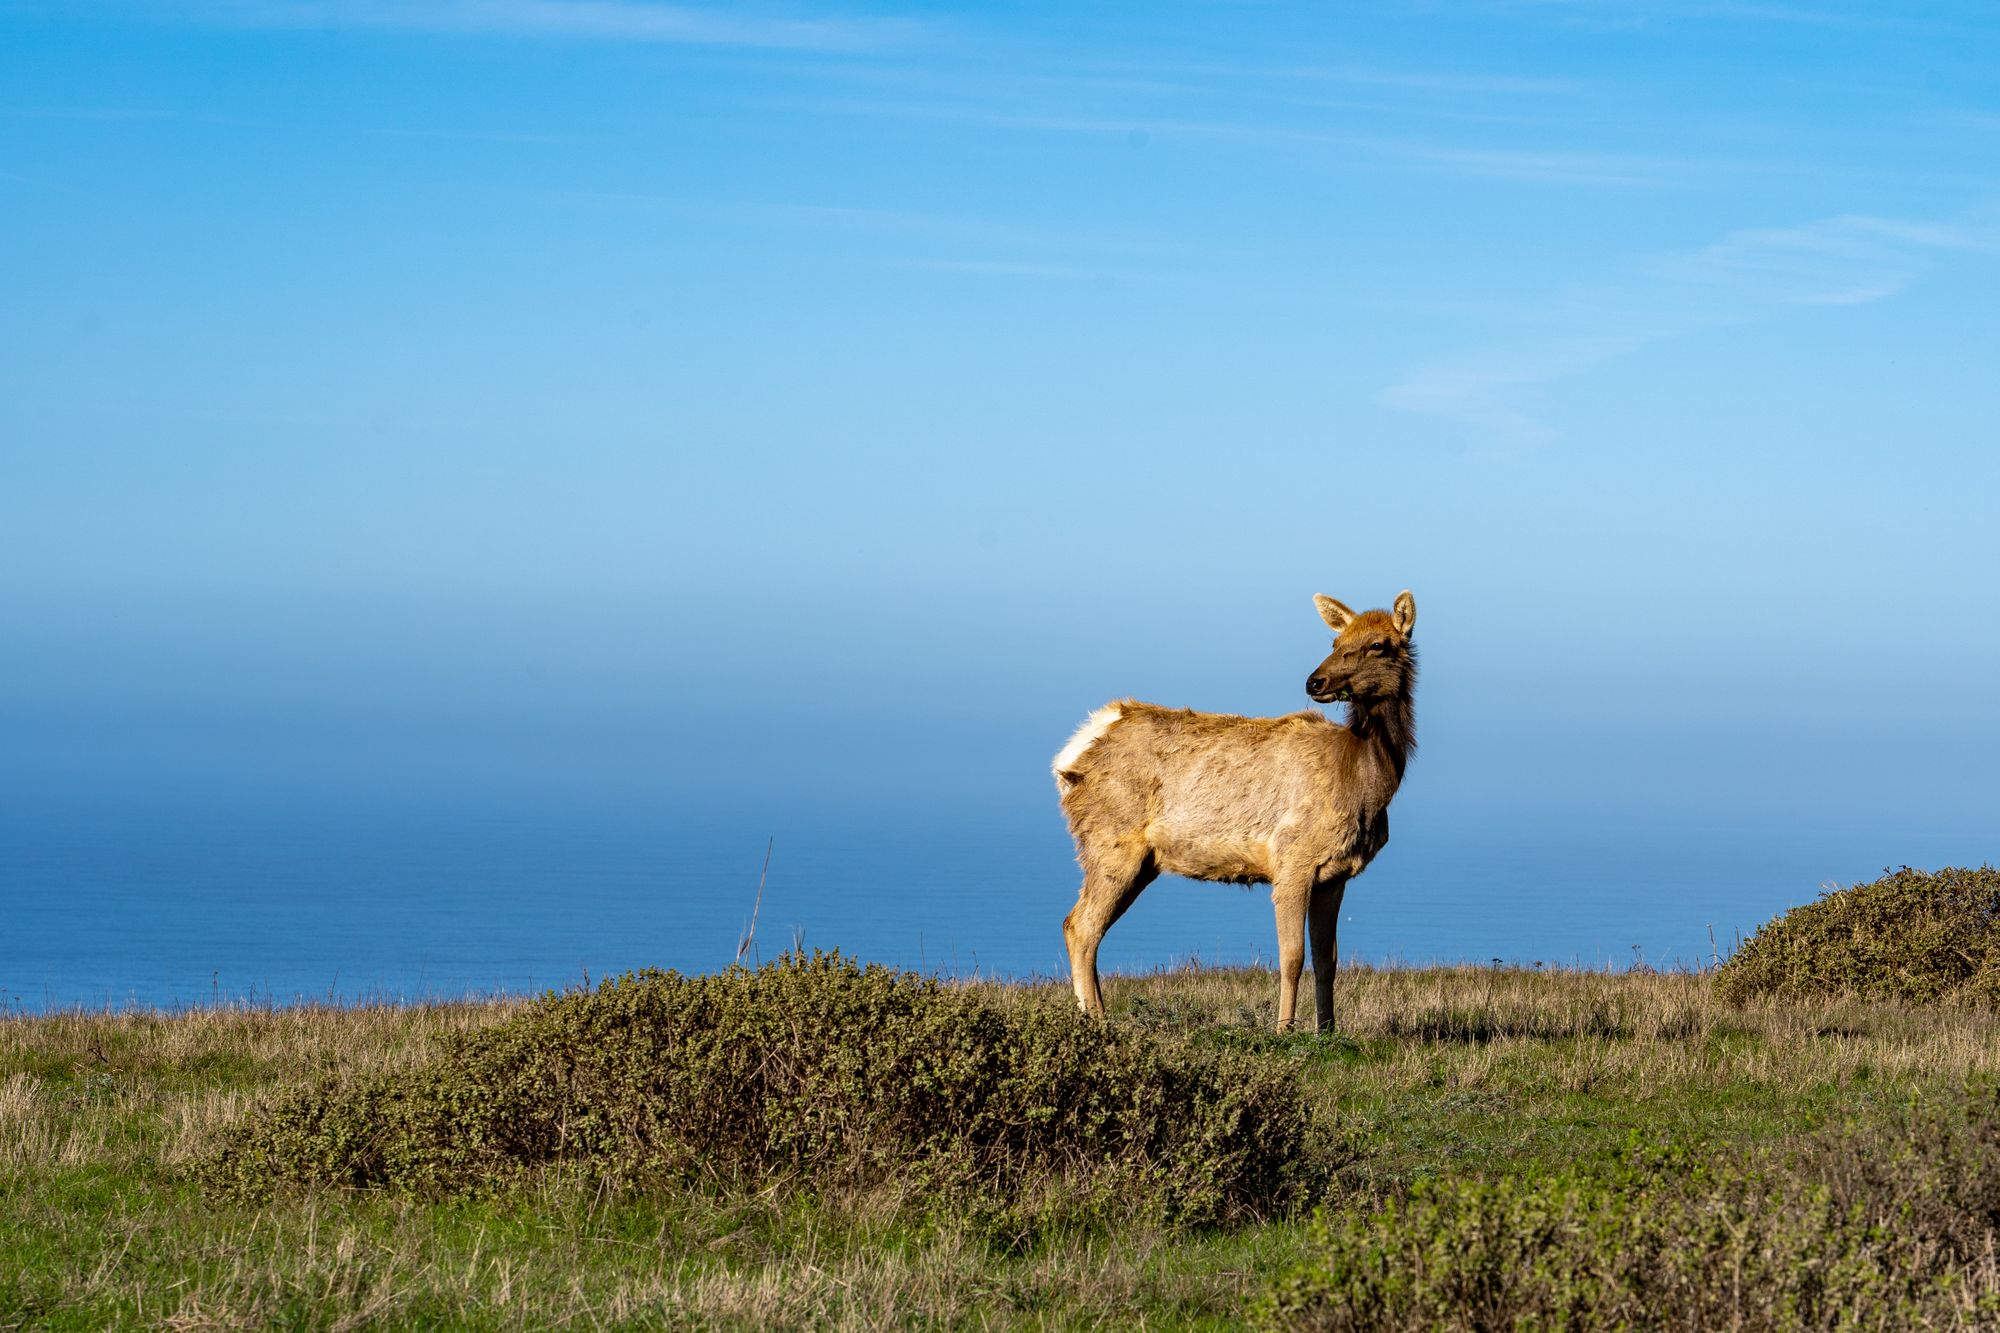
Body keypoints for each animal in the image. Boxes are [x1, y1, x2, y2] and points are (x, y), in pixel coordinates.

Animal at [1052, 591, 1417, 1034]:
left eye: (1378, 644)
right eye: (1335, 642)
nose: (1315, 681)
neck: (1365, 783)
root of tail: (1072, 753)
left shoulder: (1335, 875)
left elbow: (1326, 960)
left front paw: (1328, 1030)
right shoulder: (1292, 860)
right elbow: (1292, 957)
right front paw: (1285, 1029)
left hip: (1141, 862)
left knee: (1082, 926)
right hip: (1111, 843)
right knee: (1081, 926)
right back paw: (1096, 1022)